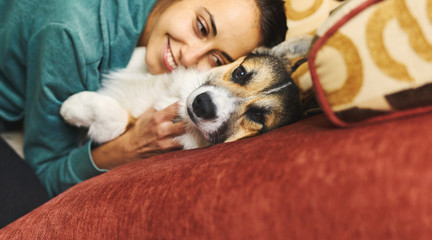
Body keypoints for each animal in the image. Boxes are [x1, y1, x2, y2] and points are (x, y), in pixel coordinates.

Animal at [60, 36, 310, 148]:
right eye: (240, 73)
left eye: (257, 116)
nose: (203, 104)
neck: (177, 99)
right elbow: (140, 58)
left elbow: (116, 119)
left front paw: (71, 109)